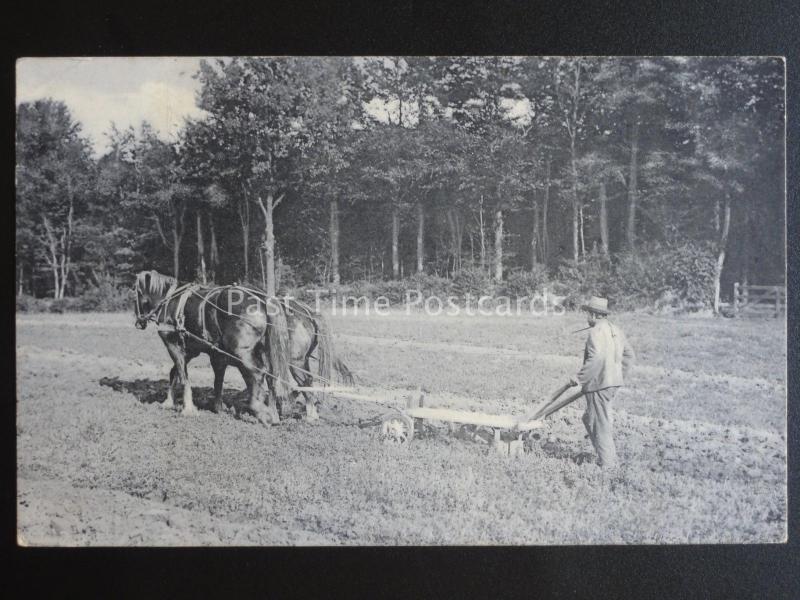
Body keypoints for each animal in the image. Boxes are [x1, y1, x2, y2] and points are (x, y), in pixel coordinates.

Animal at [134, 270, 350, 424]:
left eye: (136, 292)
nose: (139, 322)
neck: (171, 300)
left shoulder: (174, 344)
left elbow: (182, 376)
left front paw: (186, 407)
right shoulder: (203, 352)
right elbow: (206, 378)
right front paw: (217, 406)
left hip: (259, 355)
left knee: (264, 375)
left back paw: (267, 412)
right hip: (293, 359)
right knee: (289, 380)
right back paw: (294, 413)